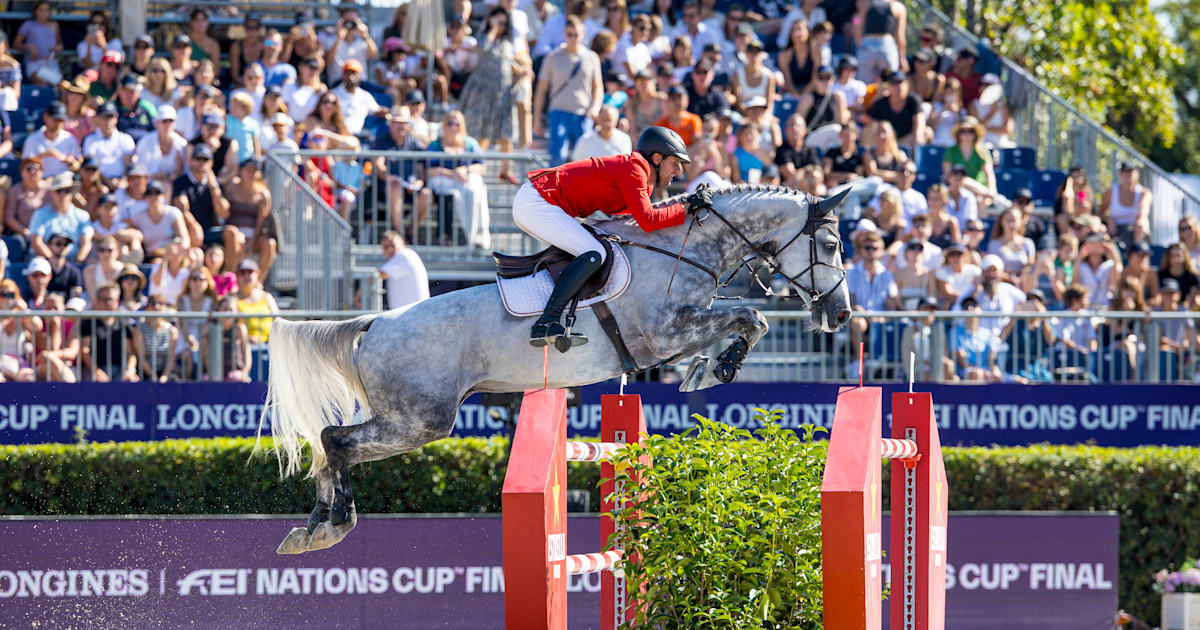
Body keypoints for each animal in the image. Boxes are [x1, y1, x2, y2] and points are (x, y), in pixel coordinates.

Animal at [262, 184, 854, 552]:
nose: (841, 314)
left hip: (413, 420)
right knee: (335, 440)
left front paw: (708, 369)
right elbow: (752, 316)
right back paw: (332, 525)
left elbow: (746, 320)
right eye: (829, 244)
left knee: (329, 443)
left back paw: (311, 527)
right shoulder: (666, 333)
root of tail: (374, 323)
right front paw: (717, 368)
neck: (684, 249)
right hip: (419, 420)